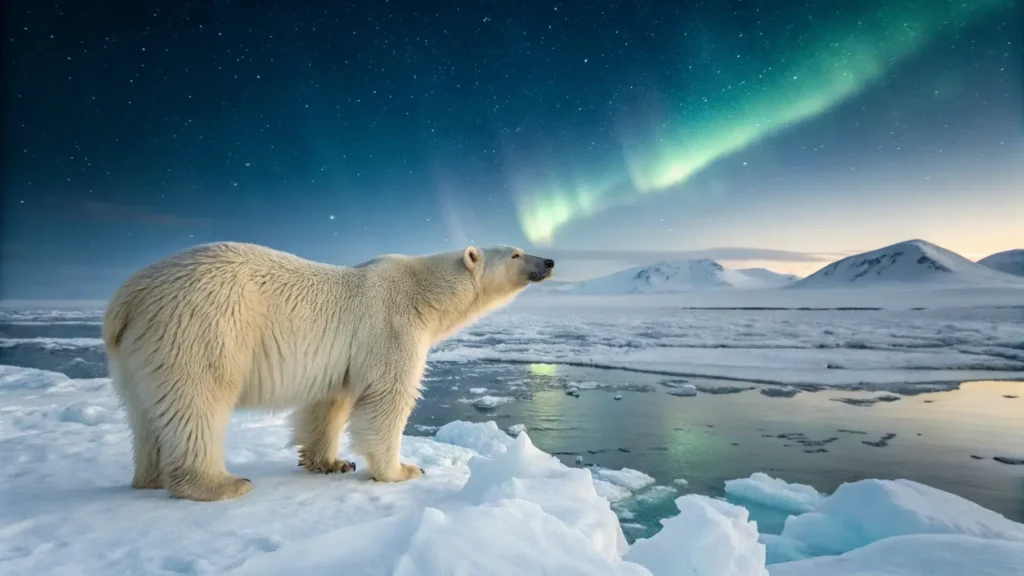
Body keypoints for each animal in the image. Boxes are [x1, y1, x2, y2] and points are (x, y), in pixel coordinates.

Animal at [101, 241, 554, 501]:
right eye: (515, 253)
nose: (549, 260)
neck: (423, 292)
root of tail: (126, 299)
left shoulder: (344, 356)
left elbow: (329, 401)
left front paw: (331, 463)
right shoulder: (391, 326)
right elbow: (387, 399)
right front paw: (403, 470)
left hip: (136, 353)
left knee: (144, 411)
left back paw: (150, 478)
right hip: (201, 324)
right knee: (199, 399)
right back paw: (221, 484)